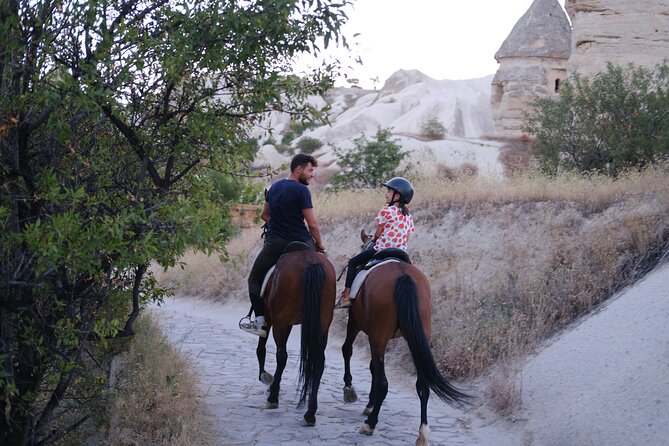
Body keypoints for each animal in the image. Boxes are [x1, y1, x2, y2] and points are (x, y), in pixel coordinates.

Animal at [252, 249, 334, 426]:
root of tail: (311, 262)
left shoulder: (272, 319)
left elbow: (262, 347)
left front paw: (265, 376)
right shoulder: (289, 323)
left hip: (280, 322)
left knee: (282, 356)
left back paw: (273, 398)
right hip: (322, 325)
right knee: (319, 362)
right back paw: (310, 413)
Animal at [342, 232, 468, 444]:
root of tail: (403, 275)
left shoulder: (356, 324)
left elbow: (349, 351)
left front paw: (351, 390)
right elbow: (373, 366)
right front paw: (369, 402)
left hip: (378, 335)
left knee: (384, 383)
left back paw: (370, 424)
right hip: (416, 337)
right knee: (423, 385)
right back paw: (423, 432)